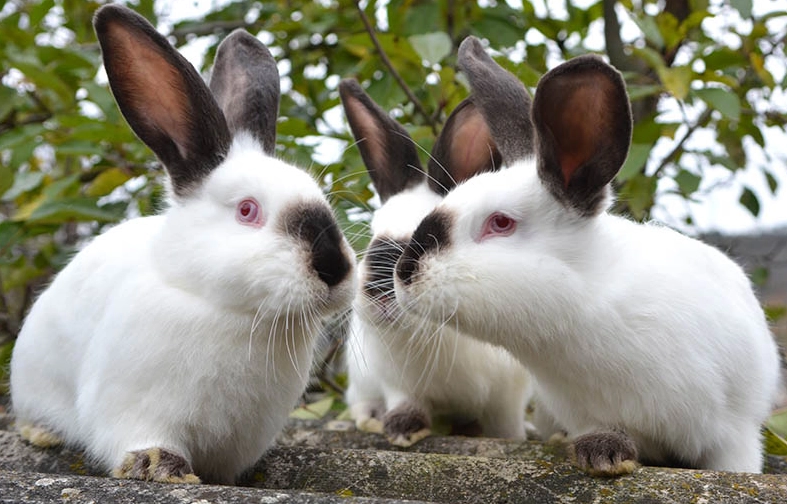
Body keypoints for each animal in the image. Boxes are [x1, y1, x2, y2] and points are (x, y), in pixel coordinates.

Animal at [9, 4, 356, 485]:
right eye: (247, 210)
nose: (333, 268)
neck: (232, 312)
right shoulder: (132, 406)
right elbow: (144, 439)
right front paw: (161, 467)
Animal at [339, 78, 532, 447]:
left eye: (427, 233)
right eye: (371, 235)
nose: (379, 290)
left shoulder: (507, 396)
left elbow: (505, 424)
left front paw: (513, 439)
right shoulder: (397, 383)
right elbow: (406, 403)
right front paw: (402, 432)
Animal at [393, 36, 781, 475]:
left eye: (501, 223)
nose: (403, 272)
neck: (586, 308)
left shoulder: (734, 434)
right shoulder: (590, 413)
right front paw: (604, 453)